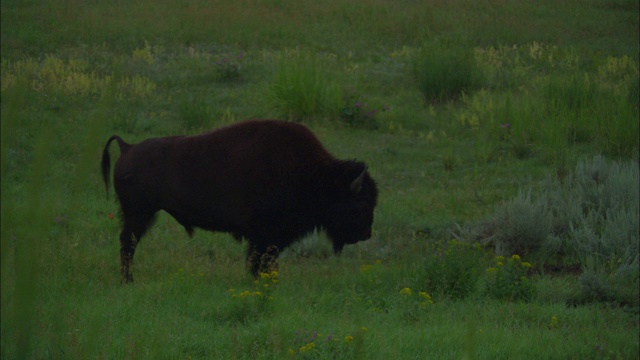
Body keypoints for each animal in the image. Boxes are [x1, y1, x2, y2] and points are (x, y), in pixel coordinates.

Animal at [102, 119, 378, 282]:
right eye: (360, 202)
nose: (367, 233)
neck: (312, 174)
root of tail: (128, 147)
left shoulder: (269, 237)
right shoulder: (265, 235)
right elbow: (259, 260)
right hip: (139, 214)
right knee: (128, 242)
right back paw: (128, 280)